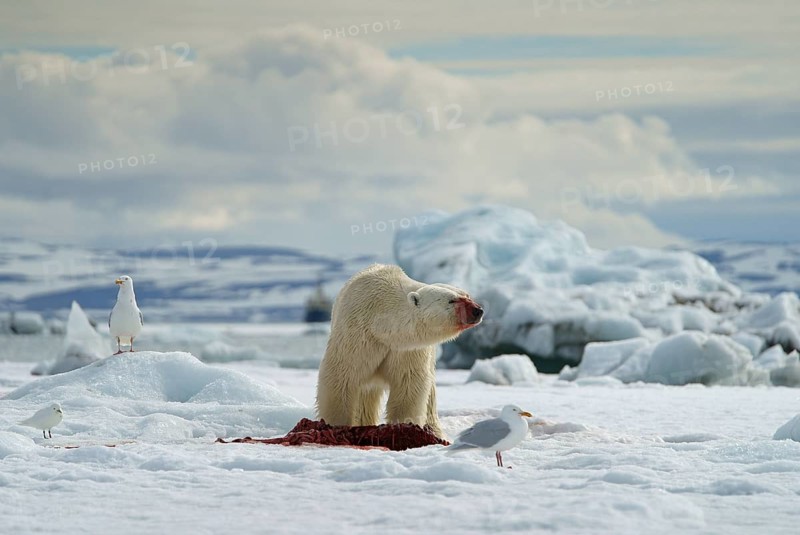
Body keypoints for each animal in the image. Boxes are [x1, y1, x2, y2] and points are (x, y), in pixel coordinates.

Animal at [315, 264, 483, 439]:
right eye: (452, 300)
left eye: (467, 295)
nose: (478, 310)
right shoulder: (357, 336)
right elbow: (341, 376)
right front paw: (336, 427)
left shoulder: (408, 348)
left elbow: (408, 385)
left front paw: (404, 428)